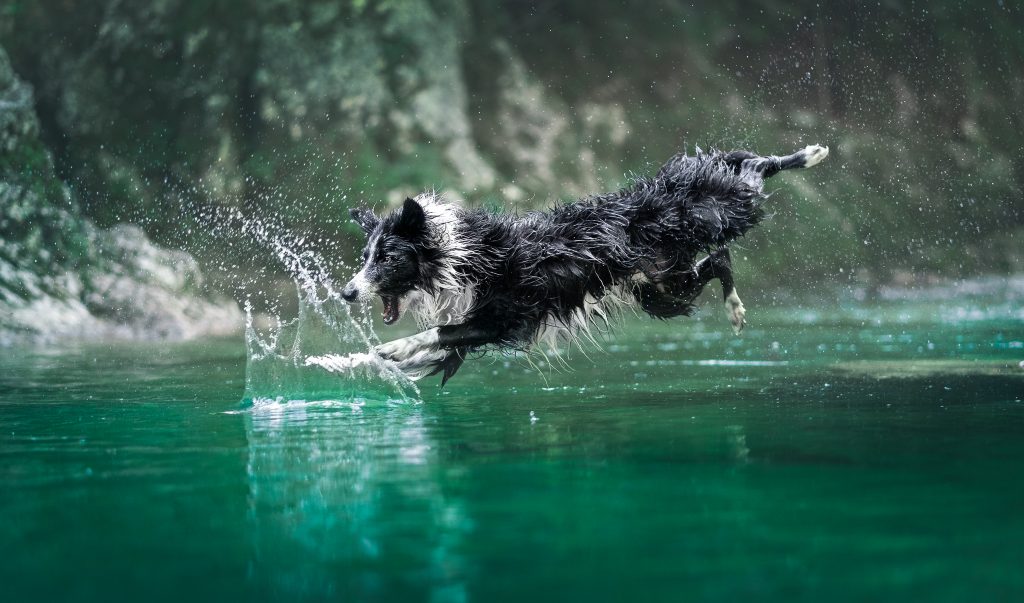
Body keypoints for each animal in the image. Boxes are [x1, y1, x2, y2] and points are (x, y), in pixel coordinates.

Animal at [339, 143, 827, 382]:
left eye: (387, 258)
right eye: (365, 257)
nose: (346, 292)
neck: (461, 254)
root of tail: (682, 178)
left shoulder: (505, 317)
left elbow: (439, 332)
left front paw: (390, 349)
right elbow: (439, 346)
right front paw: (360, 360)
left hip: (724, 213)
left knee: (753, 175)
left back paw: (804, 156)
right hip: (660, 288)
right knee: (720, 259)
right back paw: (734, 306)